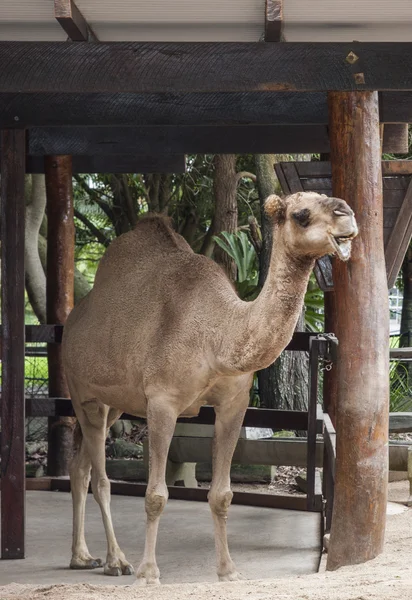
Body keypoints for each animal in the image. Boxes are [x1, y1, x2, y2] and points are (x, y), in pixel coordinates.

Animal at [61, 193, 358, 584]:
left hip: (115, 403)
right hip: (82, 392)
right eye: (301, 214)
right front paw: (149, 572)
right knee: (100, 478)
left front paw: (228, 570)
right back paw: (117, 561)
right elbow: (155, 494)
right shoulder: (162, 402)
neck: (217, 335)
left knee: (80, 468)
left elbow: (222, 494)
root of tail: (72, 322)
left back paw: (81, 557)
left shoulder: (234, 403)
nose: (347, 215)